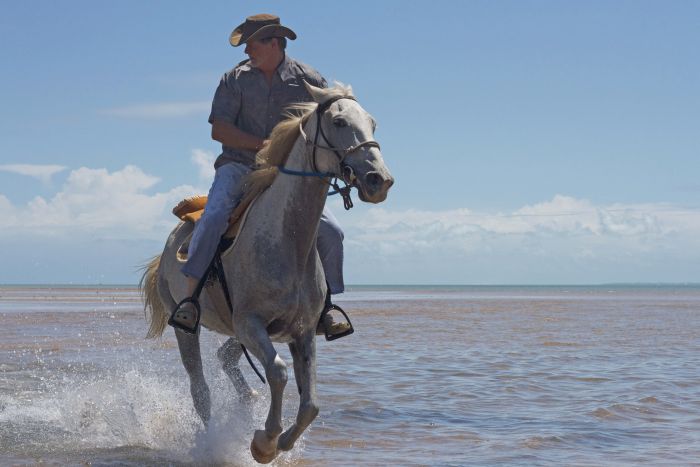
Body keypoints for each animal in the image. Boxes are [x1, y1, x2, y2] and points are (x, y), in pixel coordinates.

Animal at [141, 83, 394, 464]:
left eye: (373, 123)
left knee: (226, 358)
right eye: (338, 121)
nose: (379, 180)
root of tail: (170, 246)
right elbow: (278, 372)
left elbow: (311, 404)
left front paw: (280, 441)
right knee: (200, 390)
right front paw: (263, 442)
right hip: (189, 328)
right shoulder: (251, 324)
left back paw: (247, 400)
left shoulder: (302, 332)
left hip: (238, 332)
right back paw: (210, 442)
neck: (286, 239)